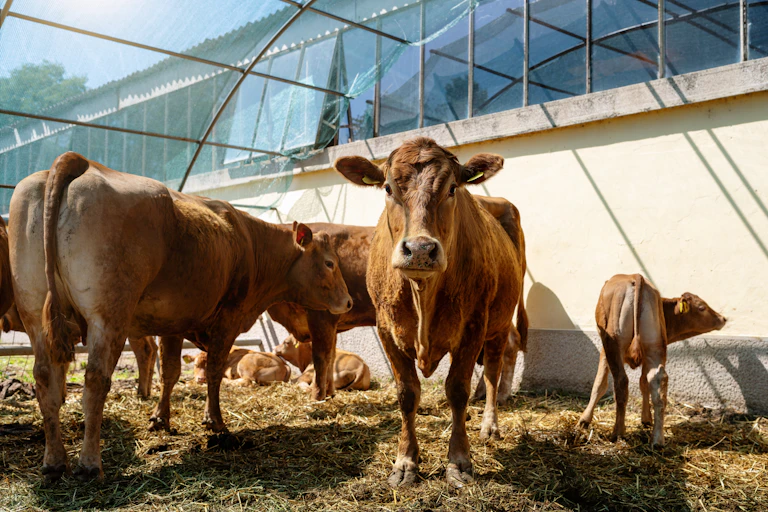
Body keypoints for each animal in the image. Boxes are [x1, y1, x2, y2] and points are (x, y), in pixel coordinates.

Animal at [9, 152, 352, 482]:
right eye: (330, 263)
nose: (348, 302)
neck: (251, 242)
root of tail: (78, 161)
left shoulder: (172, 322)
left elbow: (171, 372)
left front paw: (160, 418)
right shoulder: (228, 316)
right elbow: (213, 371)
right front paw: (215, 422)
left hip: (34, 312)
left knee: (44, 378)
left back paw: (54, 464)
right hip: (107, 316)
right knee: (95, 380)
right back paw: (90, 465)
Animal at [334, 137, 525, 488]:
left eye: (452, 188)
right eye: (387, 188)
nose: (420, 249)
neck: (422, 294)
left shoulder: (473, 325)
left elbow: (458, 390)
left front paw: (459, 461)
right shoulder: (386, 329)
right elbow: (407, 394)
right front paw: (405, 462)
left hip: (499, 322)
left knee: (493, 372)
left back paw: (489, 425)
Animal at [577, 274, 727, 446]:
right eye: (702, 307)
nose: (723, 318)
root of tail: (636, 276)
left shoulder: (604, 349)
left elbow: (599, 384)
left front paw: (584, 420)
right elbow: (643, 383)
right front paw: (646, 419)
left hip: (615, 343)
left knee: (621, 382)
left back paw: (618, 433)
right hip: (654, 346)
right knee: (658, 382)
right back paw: (657, 440)